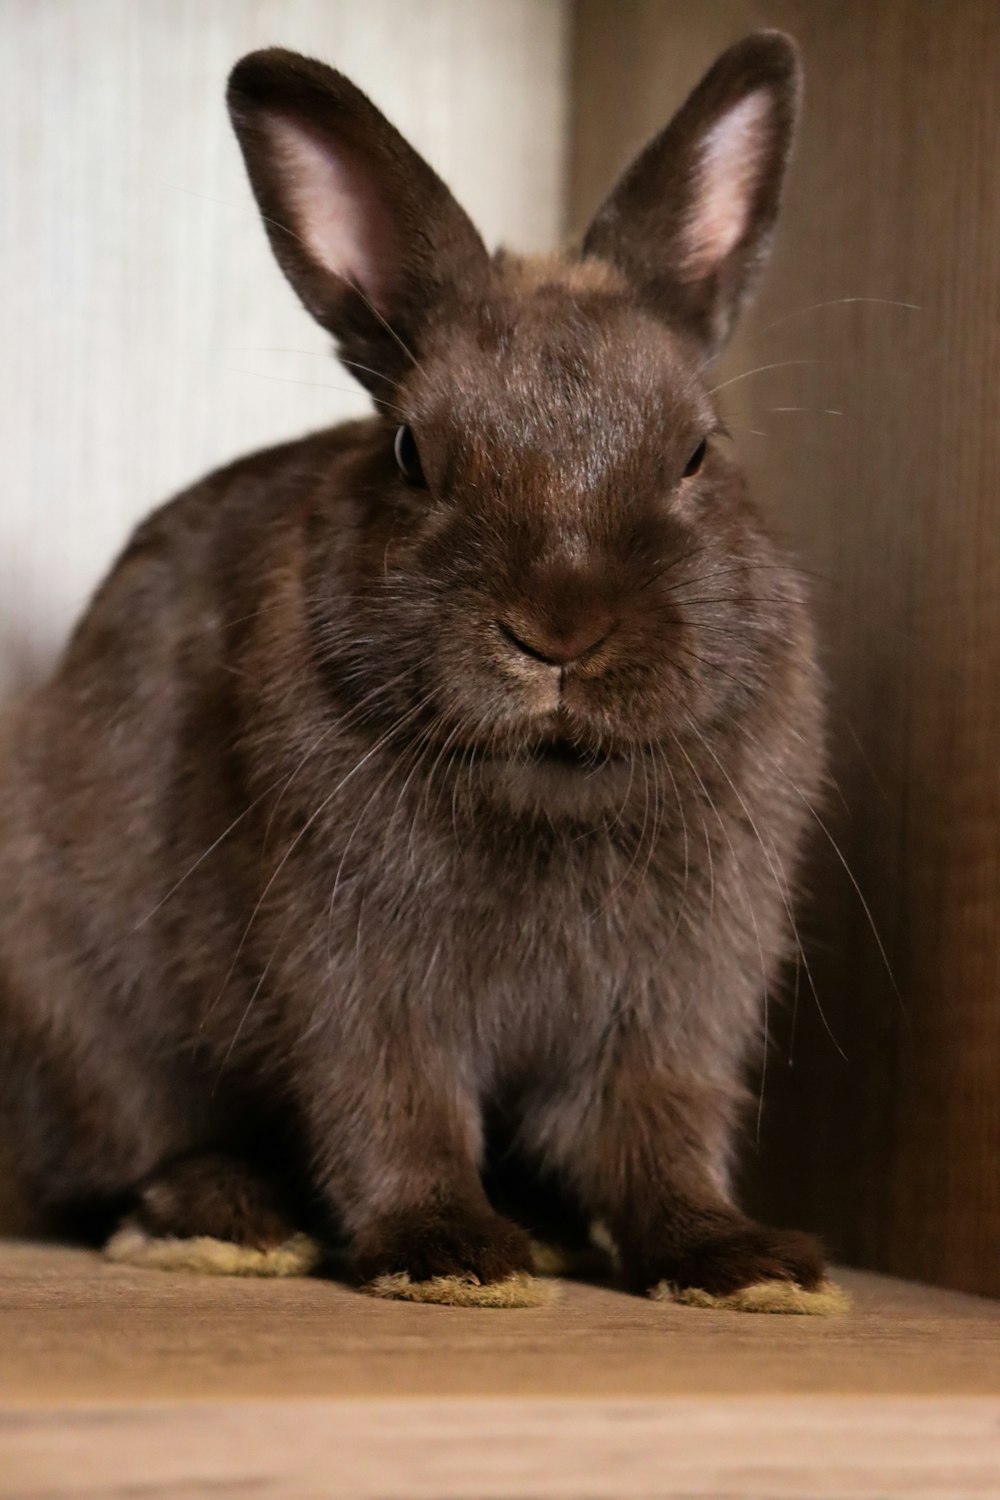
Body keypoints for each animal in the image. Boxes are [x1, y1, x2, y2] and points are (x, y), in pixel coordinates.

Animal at [0, 32, 827, 1302]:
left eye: (698, 451)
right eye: (410, 453)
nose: (558, 628)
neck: (549, 777)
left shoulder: (676, 1000)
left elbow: (657, 1131)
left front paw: (742, 1266)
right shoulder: (355, 971)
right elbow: (392, 1107)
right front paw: (448, 1257)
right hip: (78, 1009)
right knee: (128, 1157)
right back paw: (231, 1221)